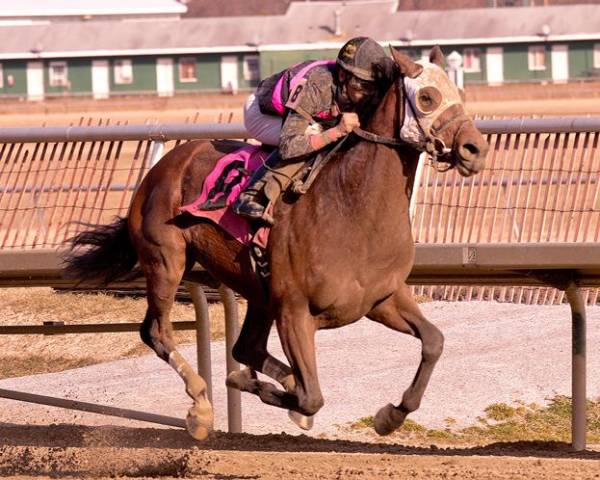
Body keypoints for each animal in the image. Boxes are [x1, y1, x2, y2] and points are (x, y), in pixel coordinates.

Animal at [65, 47, 488, 440]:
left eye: (457, 92)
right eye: (427, 97)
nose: (475, 149)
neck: (353, 208)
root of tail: (161, 168)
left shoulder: (381, 299)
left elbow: (433, 341)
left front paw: (390, 416)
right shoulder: (294, 311)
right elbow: (311, 396)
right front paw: (247, 383)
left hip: (257, 289)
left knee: (245, 347)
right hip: (166, 261)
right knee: (156, 332)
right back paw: (201, 406)